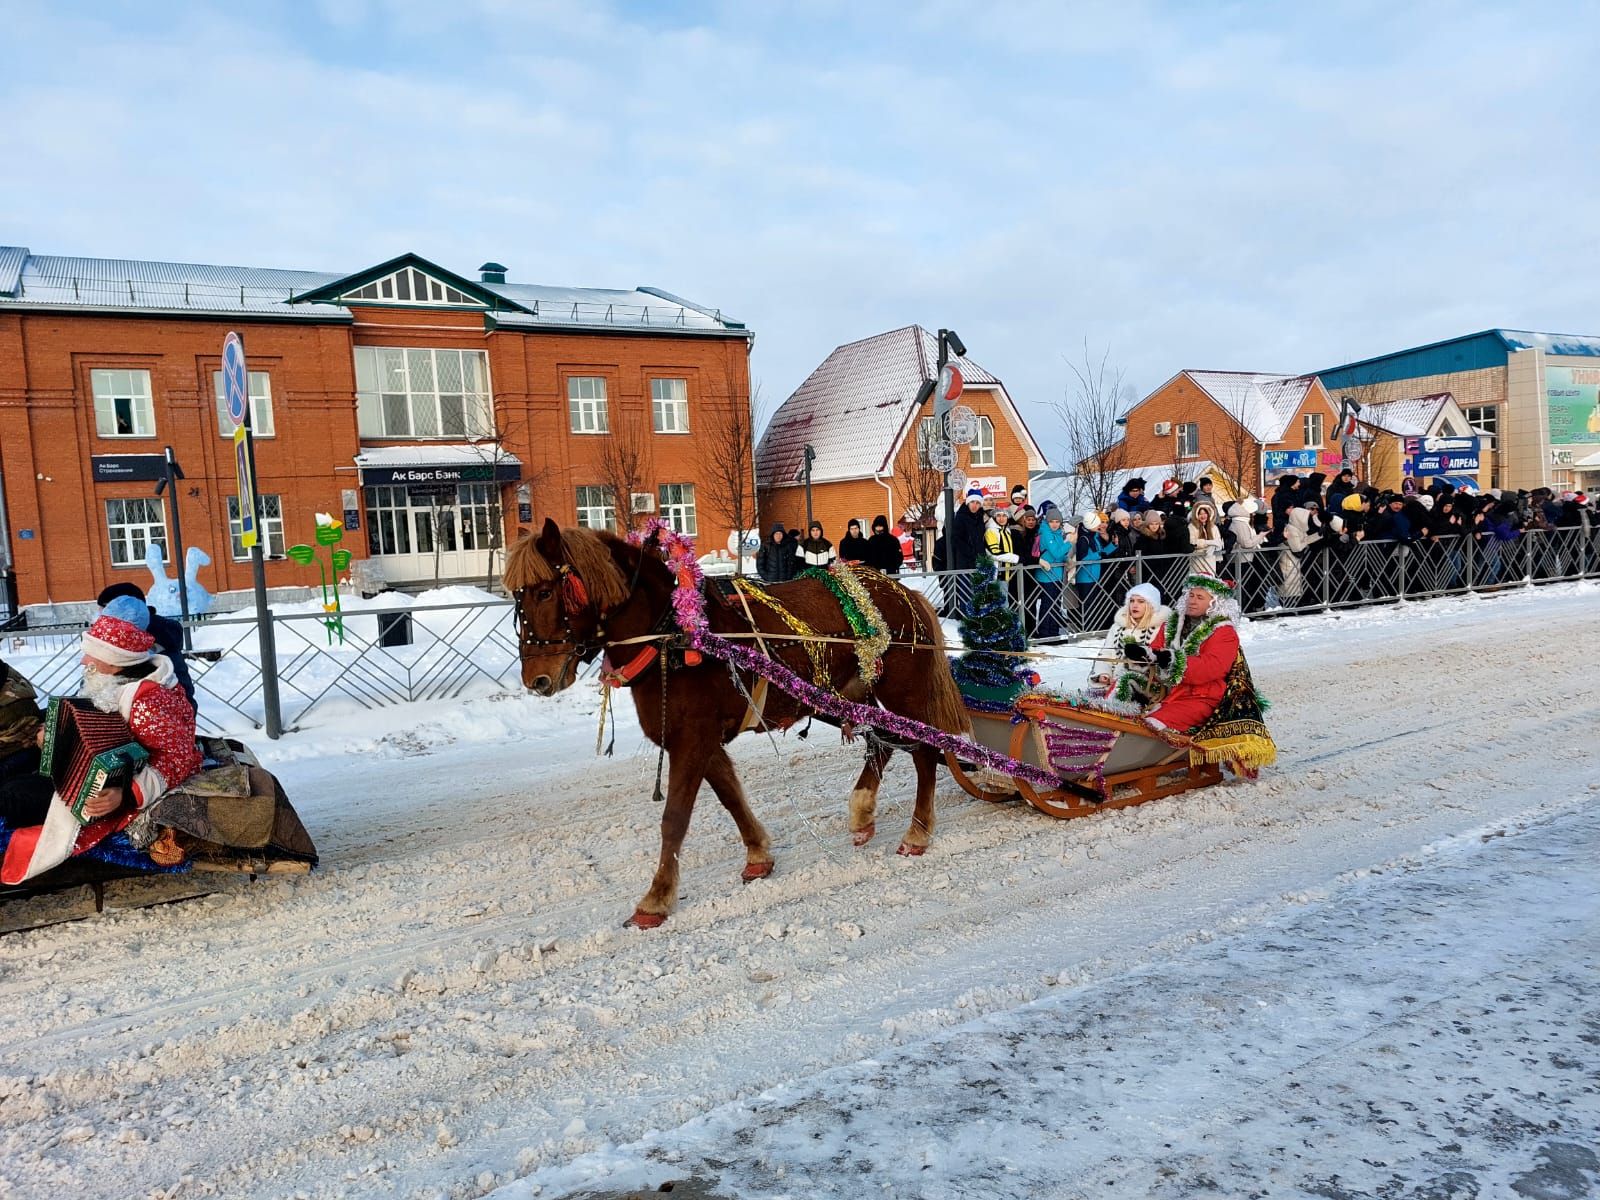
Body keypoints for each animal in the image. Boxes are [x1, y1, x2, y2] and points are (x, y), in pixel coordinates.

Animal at [505, 518, 966, 928]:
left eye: (544, 591)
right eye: (517, 600)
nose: (537, 680)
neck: (676, 634)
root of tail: (904, 592)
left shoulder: (692, 739)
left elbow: (675, 818)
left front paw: (656, 898)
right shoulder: (698, 738)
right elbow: (730, 796)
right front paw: (758, 854)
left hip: (903, 695)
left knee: (924, 750)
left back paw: (917, 832)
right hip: (852, 697)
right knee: (883, 741)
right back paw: (863, 811)